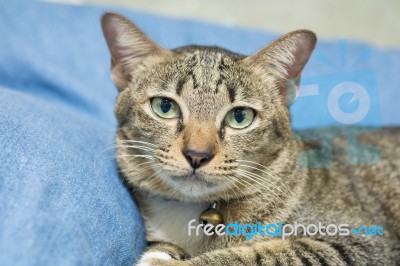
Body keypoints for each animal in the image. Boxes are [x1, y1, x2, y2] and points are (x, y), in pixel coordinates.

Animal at [101, 13, 400, 266]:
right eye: (165, 107)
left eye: (240, 116)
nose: (197, 154)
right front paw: (164, 251)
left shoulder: (360, 242)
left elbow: (259, 255)